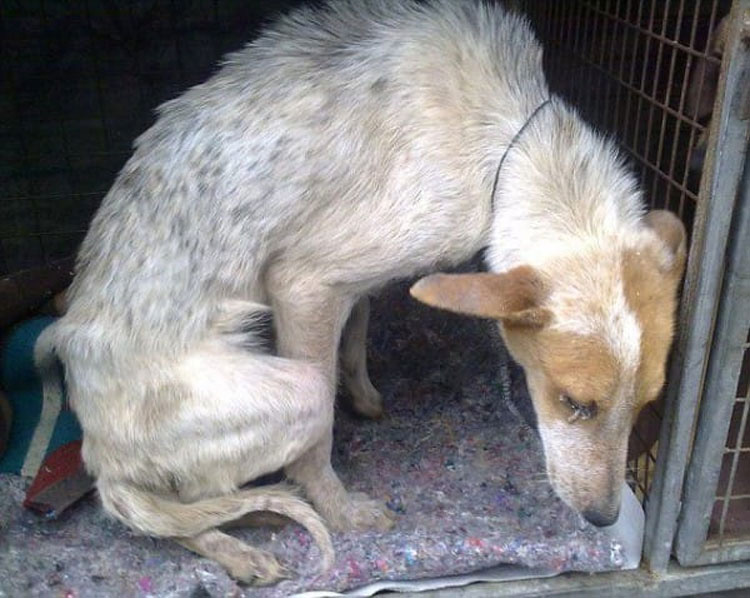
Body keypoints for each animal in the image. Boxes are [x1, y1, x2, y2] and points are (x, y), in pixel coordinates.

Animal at [35, 0, 688, 588]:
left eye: (647, 403)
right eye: (575, 403)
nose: (604, 518)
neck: (510, 134)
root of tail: (98, 455)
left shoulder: (351, 283)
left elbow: (359, 329)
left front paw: (364, 394)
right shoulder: (303, 284)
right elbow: (317, 444)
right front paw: (342, 511)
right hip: (291, 391)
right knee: (175, 507)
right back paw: (240, 543)